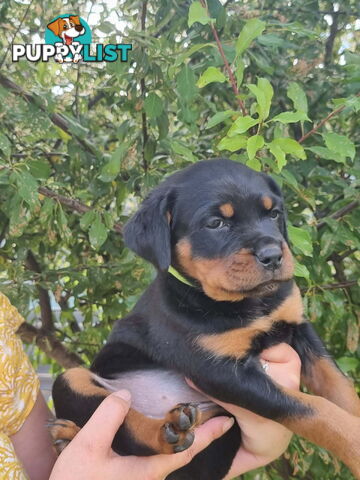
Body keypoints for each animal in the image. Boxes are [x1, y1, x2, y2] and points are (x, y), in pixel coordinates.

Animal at [50, 159, 360, 478]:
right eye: (215, 224)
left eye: (274, 214)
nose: (273, 255)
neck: (247, 303)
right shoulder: (218, 370)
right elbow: (312, 409)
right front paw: (354, 444)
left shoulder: (299, 326)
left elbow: (340, 387)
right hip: (72, 379)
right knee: (130, 436)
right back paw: (164, 431)